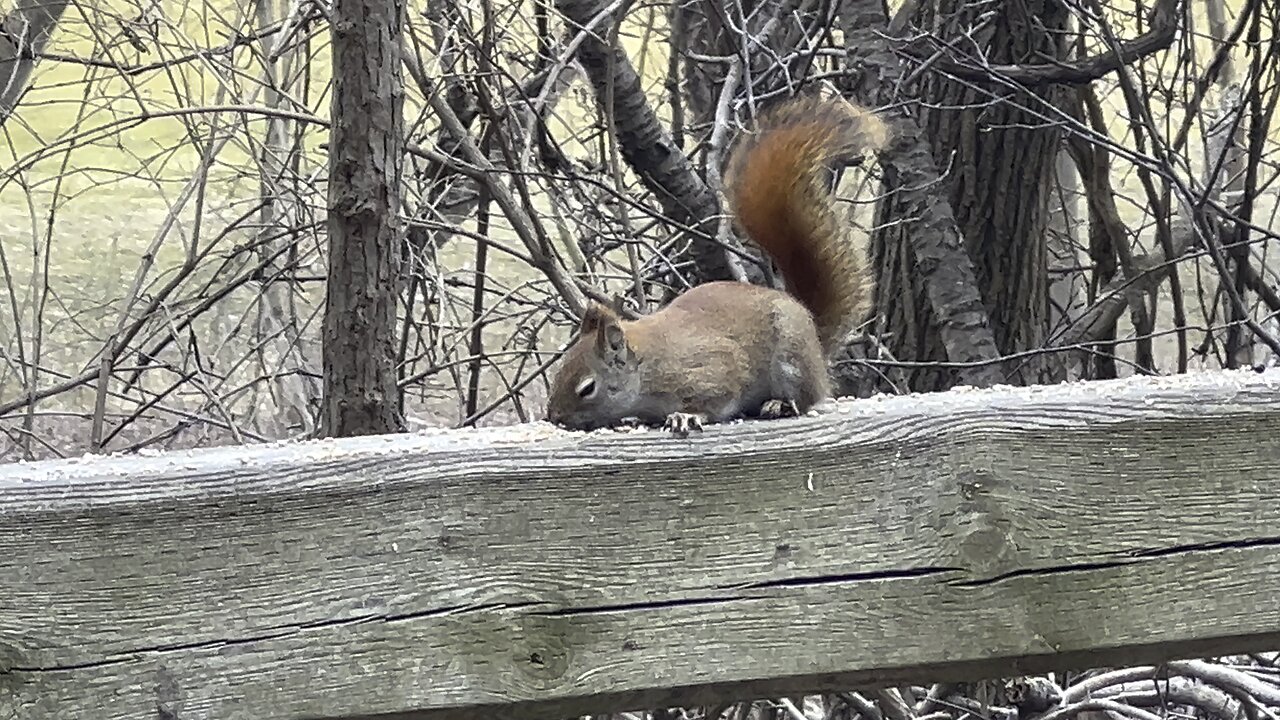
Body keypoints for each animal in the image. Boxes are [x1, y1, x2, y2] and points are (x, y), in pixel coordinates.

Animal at [542, 92, 890, 435]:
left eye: (587, 388)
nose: (555, 416)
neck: (646, 365)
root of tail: (814, 336)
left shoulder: (712, 370)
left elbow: (717, 397)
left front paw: (686, 416)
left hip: (793, 361)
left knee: (806, 397)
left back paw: (778, 404)